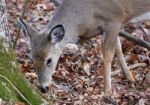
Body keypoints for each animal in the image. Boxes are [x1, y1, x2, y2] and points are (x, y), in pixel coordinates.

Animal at [19, 0, 150, 95]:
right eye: (32, 59)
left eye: (49, 60)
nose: (43, 88)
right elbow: (118, 47)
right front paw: (129, 77)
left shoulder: (115, 19)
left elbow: (108, 53)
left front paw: (107, 91)